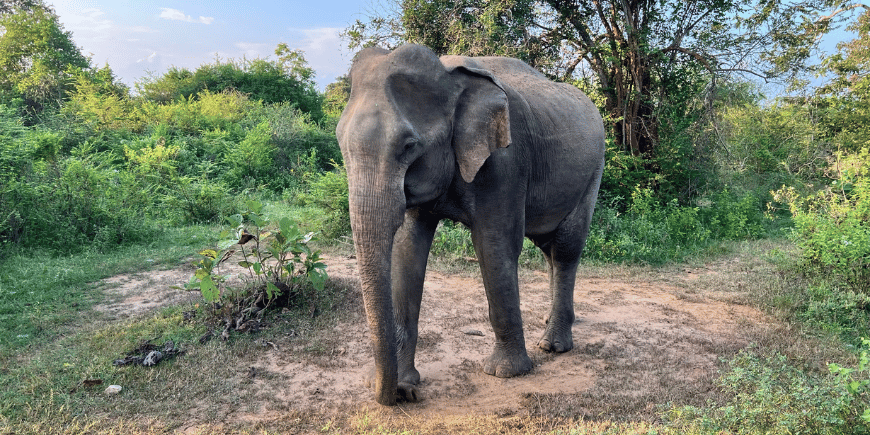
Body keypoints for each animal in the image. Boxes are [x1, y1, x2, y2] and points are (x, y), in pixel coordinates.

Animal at [335, 44, 605, 406]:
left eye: (409, 146)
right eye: (340, 143)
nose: (405, 395)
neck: (449, 76)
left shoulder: (505, 161)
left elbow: (494, 245)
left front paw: (506, 372)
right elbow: (408, 249)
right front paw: (406, 381)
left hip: (593, 171)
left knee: (565, 249)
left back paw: (553, 346)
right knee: (549, 250)